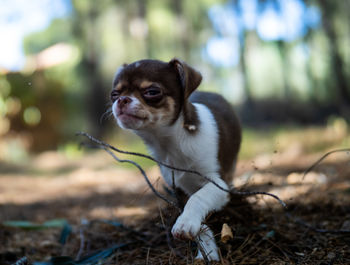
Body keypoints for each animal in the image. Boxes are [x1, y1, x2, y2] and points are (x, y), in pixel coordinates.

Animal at [110, 58, 242, 260]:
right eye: (114, 94)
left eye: (152, 92)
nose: (121, 100)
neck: (171, 143)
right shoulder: (177, 189)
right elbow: (200, 220)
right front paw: (206, 251)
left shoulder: (220, 184)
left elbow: (198, 197)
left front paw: (187, 224)